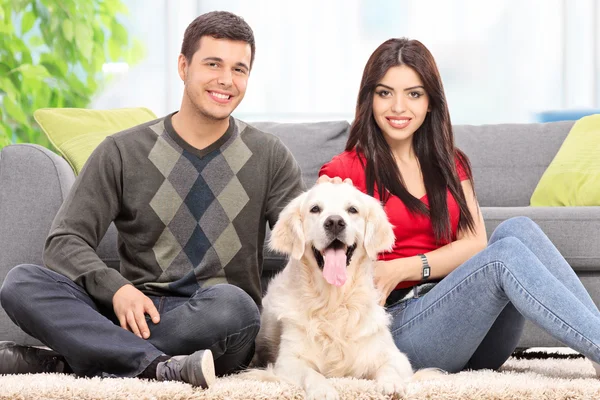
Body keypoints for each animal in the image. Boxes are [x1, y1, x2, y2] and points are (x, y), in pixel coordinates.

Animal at [251, 182, 414, 400]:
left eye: (352, 210)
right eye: (315, 209)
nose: (335, 222)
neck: (333, 302)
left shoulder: (395, 355)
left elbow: (389, 366)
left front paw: (392, 383)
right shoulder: (287, 361)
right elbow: (311, 373)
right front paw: (323, 389)